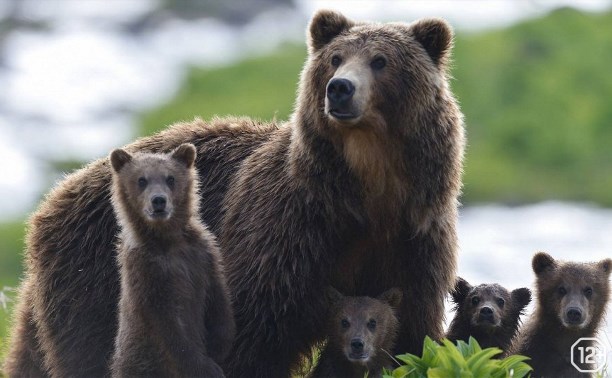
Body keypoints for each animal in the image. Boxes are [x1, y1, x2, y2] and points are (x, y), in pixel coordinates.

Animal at [3, 8, 464, 378]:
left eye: (380, 60)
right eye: (335, 58)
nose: (340, 87)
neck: (368, 191)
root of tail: (54, 198)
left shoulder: (413, 241)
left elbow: (412, 333)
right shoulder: (289, 232)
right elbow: (250, 330)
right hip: (94, 277)